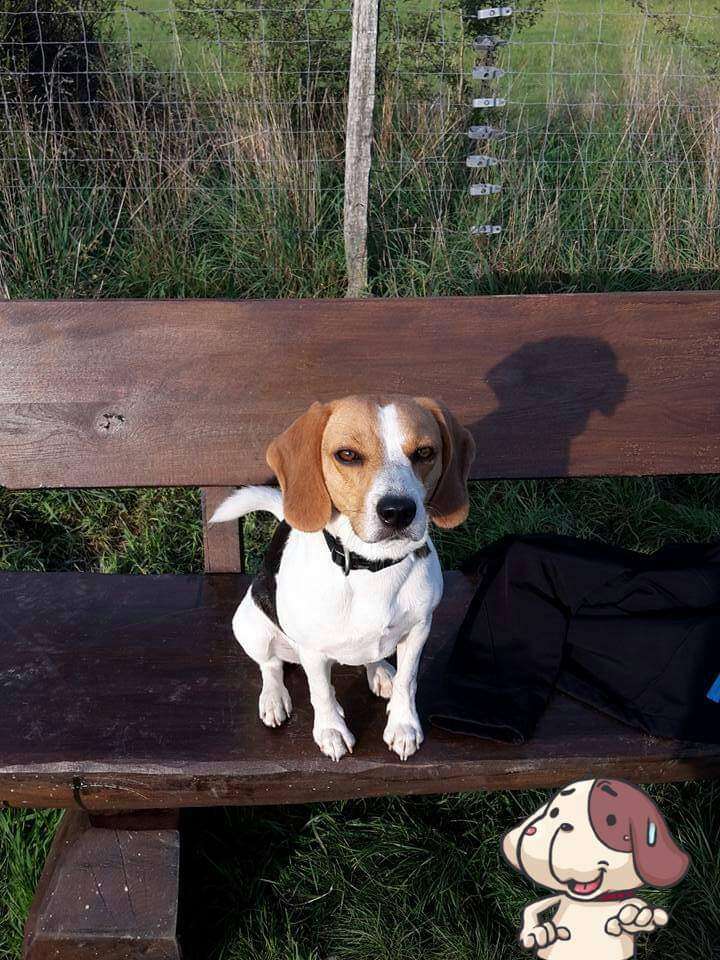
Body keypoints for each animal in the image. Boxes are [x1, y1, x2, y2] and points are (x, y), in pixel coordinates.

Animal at [211, 395, 475, 761]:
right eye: (347, 455)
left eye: (424, 452)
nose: (398, 511)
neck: (372, 566)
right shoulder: (312, 650)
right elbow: (322, 692)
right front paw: (331, 731)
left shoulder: (420, 629)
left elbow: (408, 681)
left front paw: (403, 725)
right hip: (250, 626)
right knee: (270, 666)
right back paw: (274, 697)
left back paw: (380, 670)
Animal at [502, 778, 689, 959]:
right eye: (552, 813)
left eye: (566, 826)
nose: (530, 830)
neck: (594, 902)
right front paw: (538, 932)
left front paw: (637, 917)